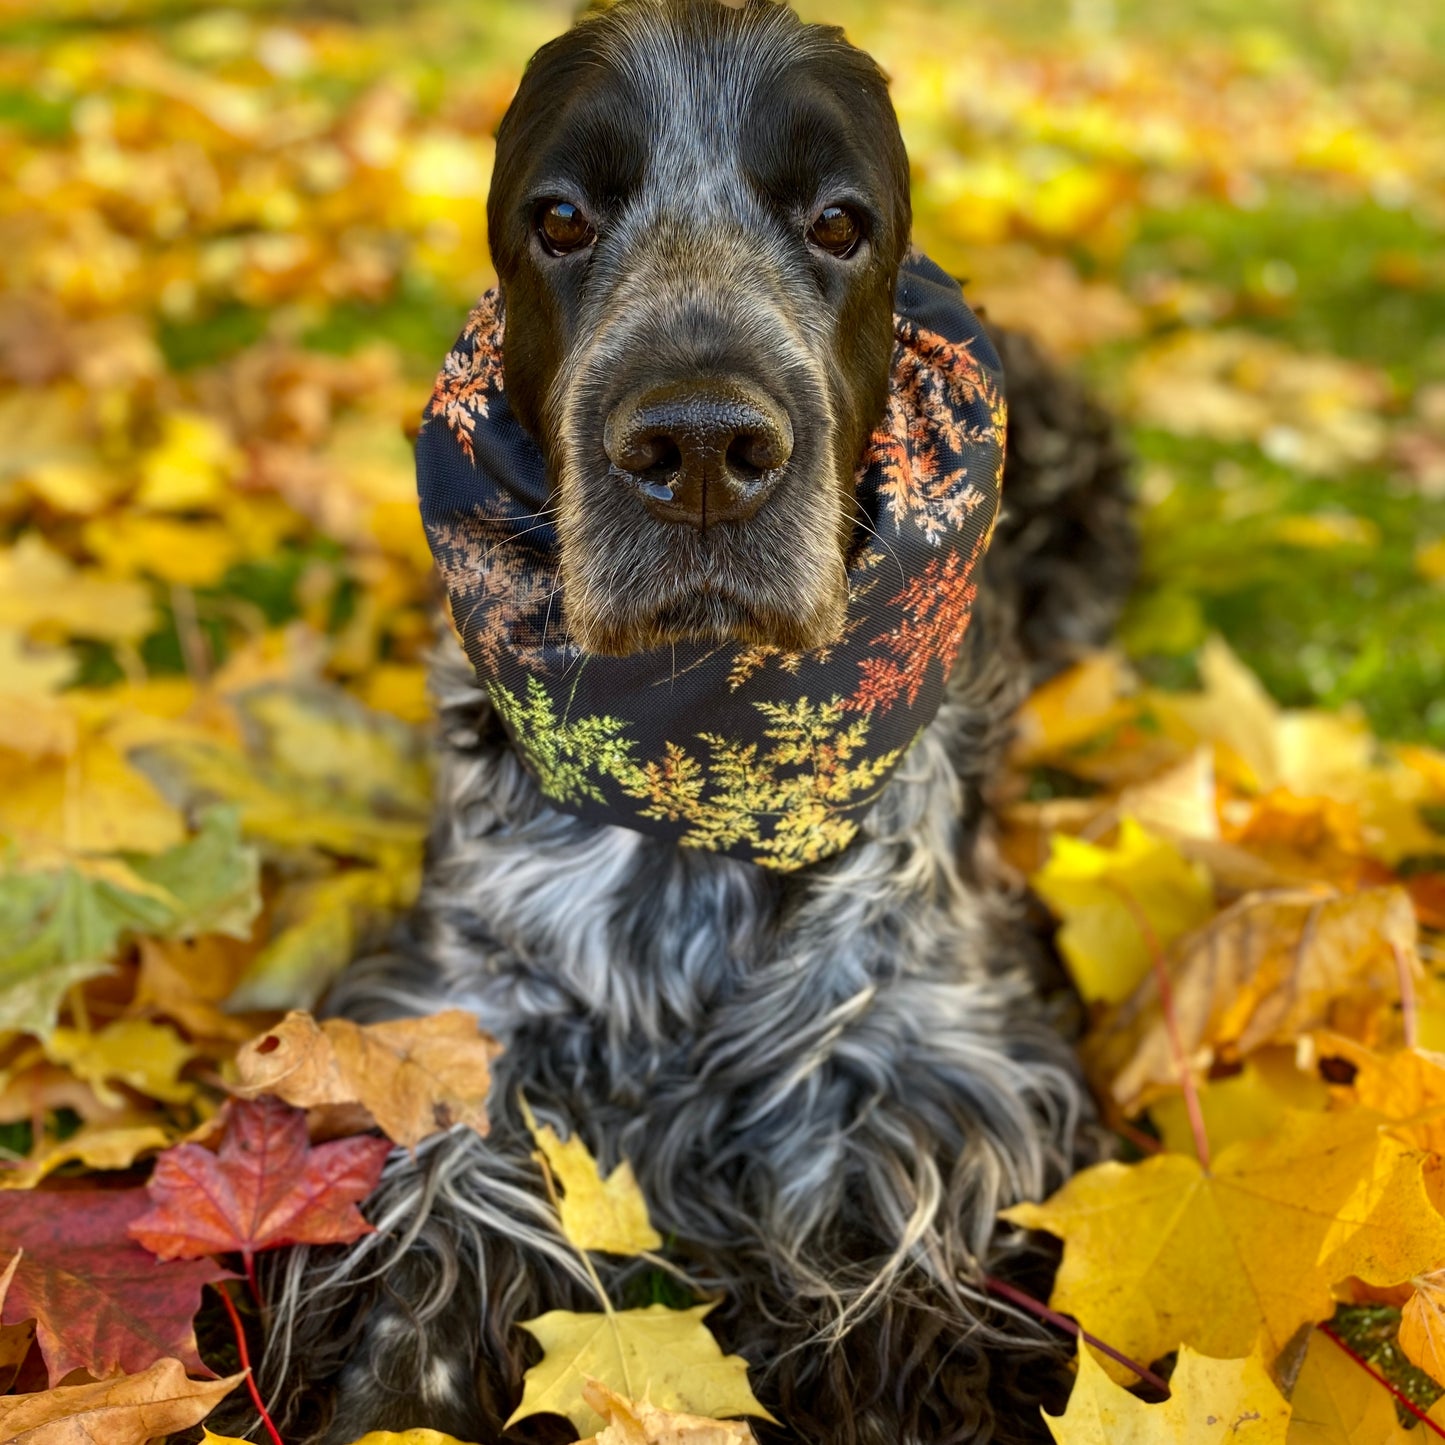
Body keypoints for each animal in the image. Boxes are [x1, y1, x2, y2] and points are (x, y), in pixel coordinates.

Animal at [265, 5, 1132, 1439]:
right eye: (561, 217)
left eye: (837, 220)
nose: (702, 448)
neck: (700, 766)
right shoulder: (452, 1019)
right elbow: (429, 1238)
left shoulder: (922, 1080)